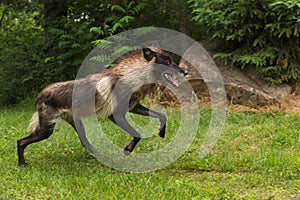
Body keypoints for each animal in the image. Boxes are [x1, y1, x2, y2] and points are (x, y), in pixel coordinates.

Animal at [17, 46, 188, 166]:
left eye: (172, 60)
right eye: (167, 62)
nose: (185, 72)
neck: (134, 76)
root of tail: (41, 95)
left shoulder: (133, 107)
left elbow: (162, 115)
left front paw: (162, 132)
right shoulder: (116, 116)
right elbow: (137, 135)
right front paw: (128, 149)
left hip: (75, 125)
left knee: (85, 143)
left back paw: (101, 157)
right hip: (46, 130)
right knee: (20, 142)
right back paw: (22, 164)